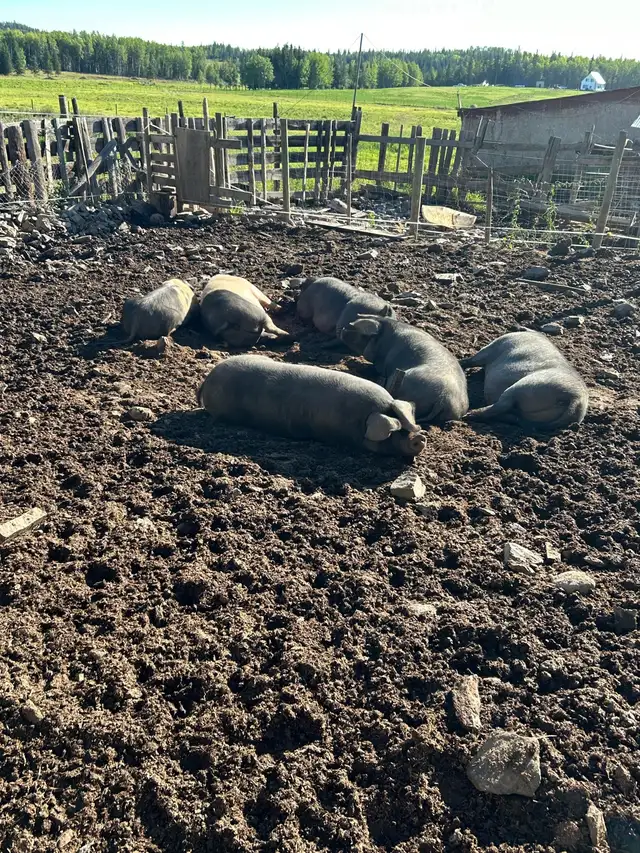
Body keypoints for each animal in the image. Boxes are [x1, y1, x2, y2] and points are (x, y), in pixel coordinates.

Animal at [460, 331, 588, 428]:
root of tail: (577, 398)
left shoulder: (491, 349)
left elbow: (472, 360)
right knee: (512, 415)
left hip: (526, 385)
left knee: (502, 405)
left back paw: (469, 415)